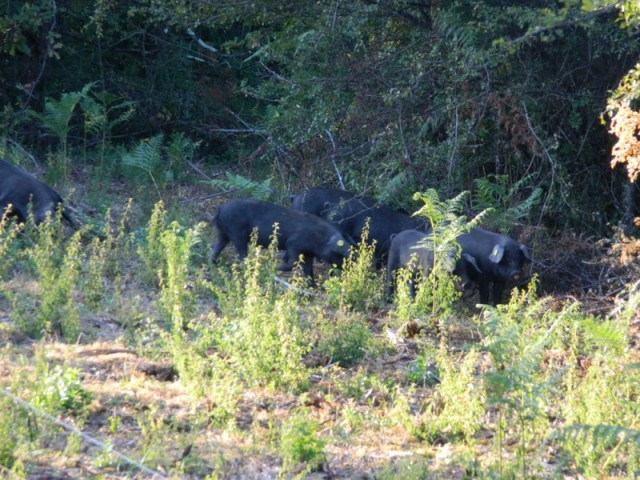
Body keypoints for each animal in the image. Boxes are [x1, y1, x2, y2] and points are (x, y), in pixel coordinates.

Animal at [210, 199, 352, 282]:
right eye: (340, 255)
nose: (351, 268)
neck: (321, 239)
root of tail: (220, 209)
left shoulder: (308, 253)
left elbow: (308, 270)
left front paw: (314, 286)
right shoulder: (293, 244)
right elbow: (293, 263)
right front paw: (273, 268)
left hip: (223, 233)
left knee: (214, 248)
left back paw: (213, 264)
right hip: (237, 234)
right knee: (242, 256)